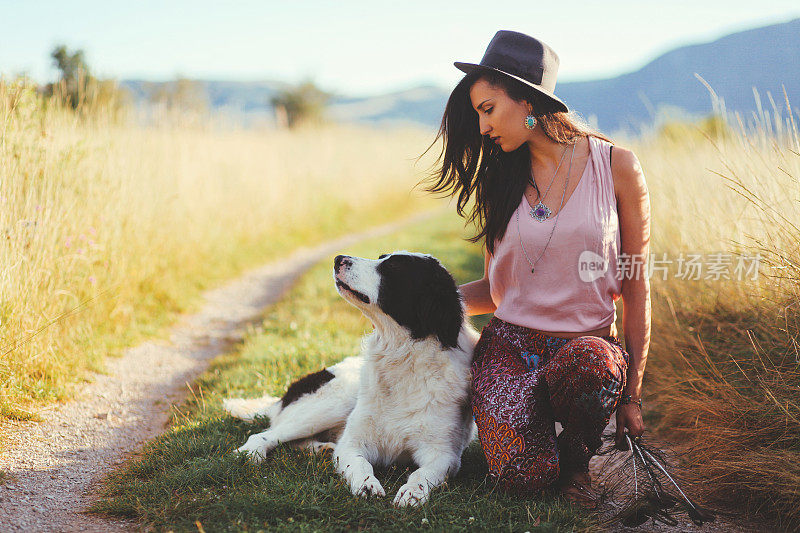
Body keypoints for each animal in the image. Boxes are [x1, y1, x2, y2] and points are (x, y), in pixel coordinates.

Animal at [222, 251, 478, 504]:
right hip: (334, 403)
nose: (338, 259)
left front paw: (413, 491)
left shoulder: (443, 454)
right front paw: (366, 485)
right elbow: (359, 464)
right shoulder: (353, 443)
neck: (402, 358)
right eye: (381, 257)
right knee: (263, 435)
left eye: (393, 267)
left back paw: (321, 449)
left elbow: (423, 473)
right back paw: (251, 454)